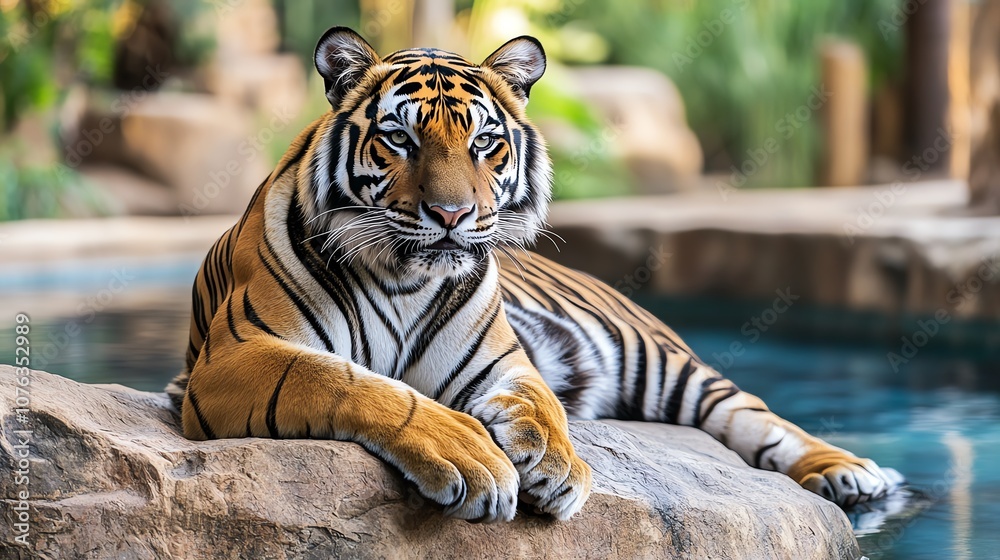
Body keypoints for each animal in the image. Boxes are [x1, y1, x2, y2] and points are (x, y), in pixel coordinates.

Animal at [166, 27, 903, 523]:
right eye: (400, 138)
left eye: (485, 143)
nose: (452, 214)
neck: (404, 279)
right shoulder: (236, 355)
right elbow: (355, 383)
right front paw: (470, 456)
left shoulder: (502, 362)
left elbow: (543, 407)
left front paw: (557, 467)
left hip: (664, 365)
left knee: (757, 416)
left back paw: (849, 473)